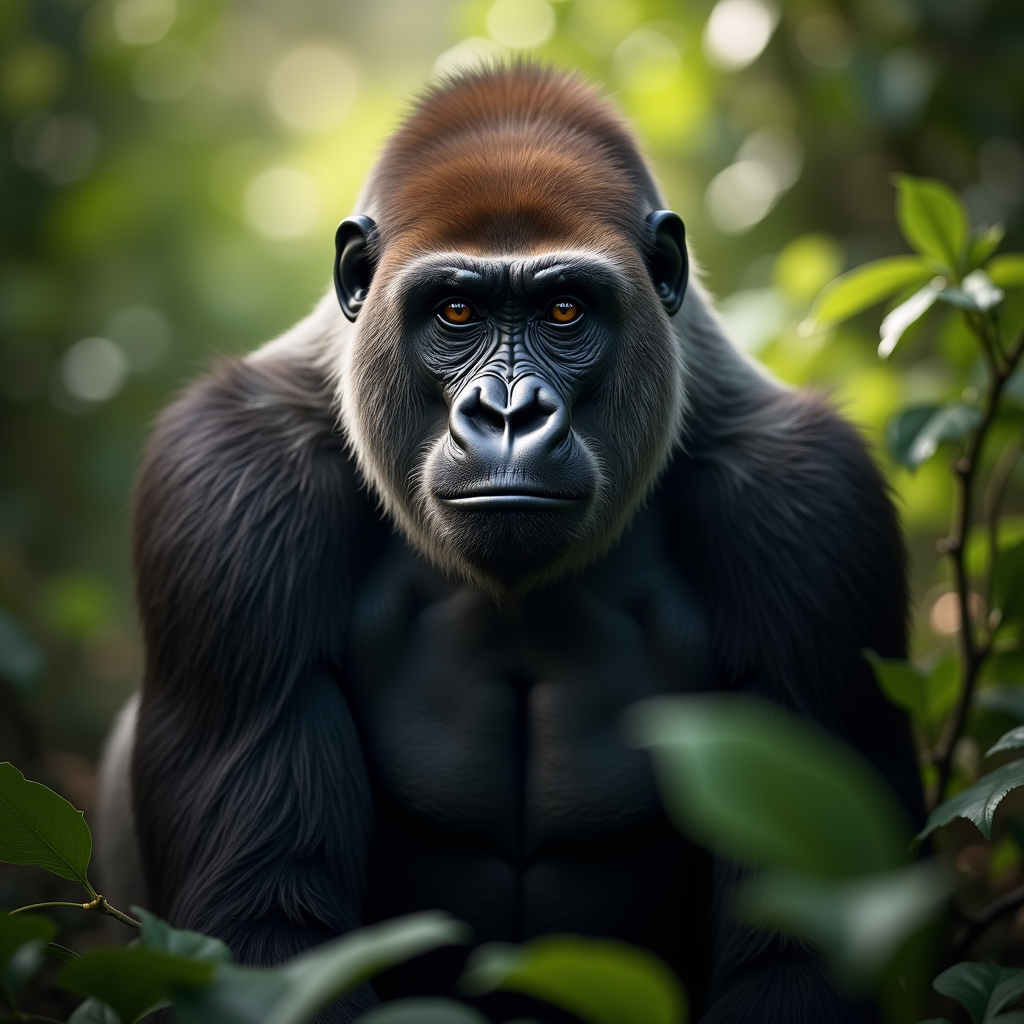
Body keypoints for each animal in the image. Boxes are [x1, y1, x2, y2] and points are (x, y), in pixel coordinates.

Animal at [97, 64, 923, 1022]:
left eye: (565, 309)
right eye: (455, 310)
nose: (508, 414)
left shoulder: (811, 504)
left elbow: (797, 956)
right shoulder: (230, 480)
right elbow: (268, 933)